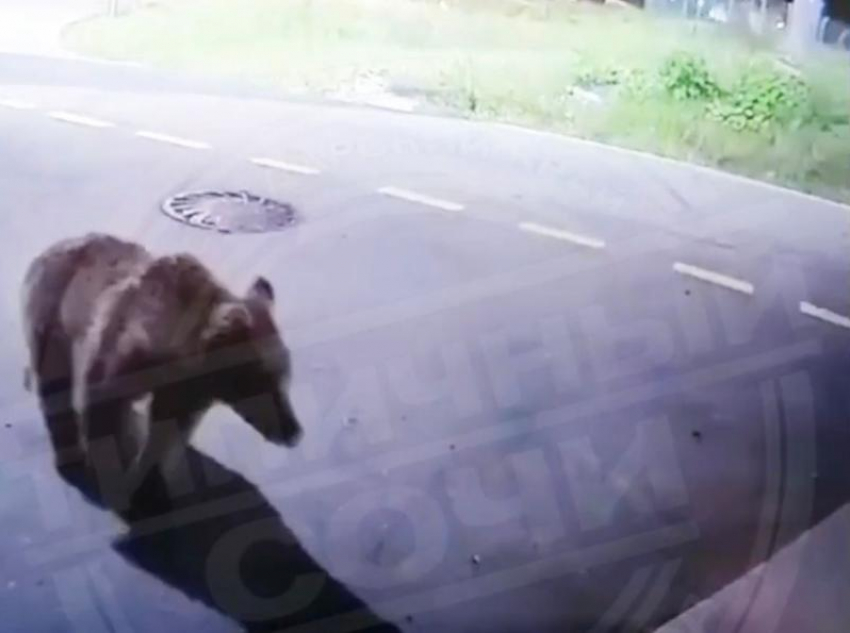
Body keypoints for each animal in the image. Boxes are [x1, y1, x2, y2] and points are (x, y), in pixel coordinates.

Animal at [21, 233, 301, 507]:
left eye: (286, 375)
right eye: (260, 380)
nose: (293, 431)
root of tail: (51, 248)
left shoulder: (186, 387)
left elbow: (167, 432)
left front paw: (149, 486)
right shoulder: (120, 350)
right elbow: (103, 406)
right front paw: (111, 474)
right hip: (54, 317)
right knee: (54, 383)